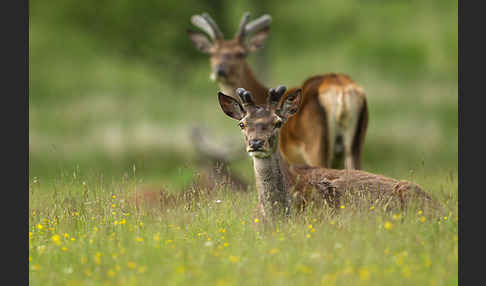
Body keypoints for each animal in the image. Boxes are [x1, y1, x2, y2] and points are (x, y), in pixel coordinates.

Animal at [188, 11, 366, 170]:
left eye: (241, 53)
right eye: (212, 53)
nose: (220, 71)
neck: (261, 95)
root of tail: (342, 91)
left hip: (315, 145)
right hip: (356, 143)